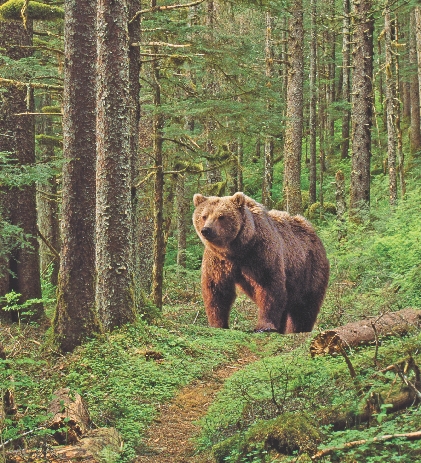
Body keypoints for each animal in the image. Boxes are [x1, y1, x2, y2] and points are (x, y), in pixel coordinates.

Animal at [192, 192, 330, 334]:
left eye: (221, 216)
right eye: (204, 216)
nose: (206, 230)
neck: (237, 249)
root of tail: (314, 234)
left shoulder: (261, 254)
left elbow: (269, 287)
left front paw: (264, 326)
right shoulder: (218, 261)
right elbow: (216, 289)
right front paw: (217, 324)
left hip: (309, 270)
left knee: (305, 305)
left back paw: (298, 328)